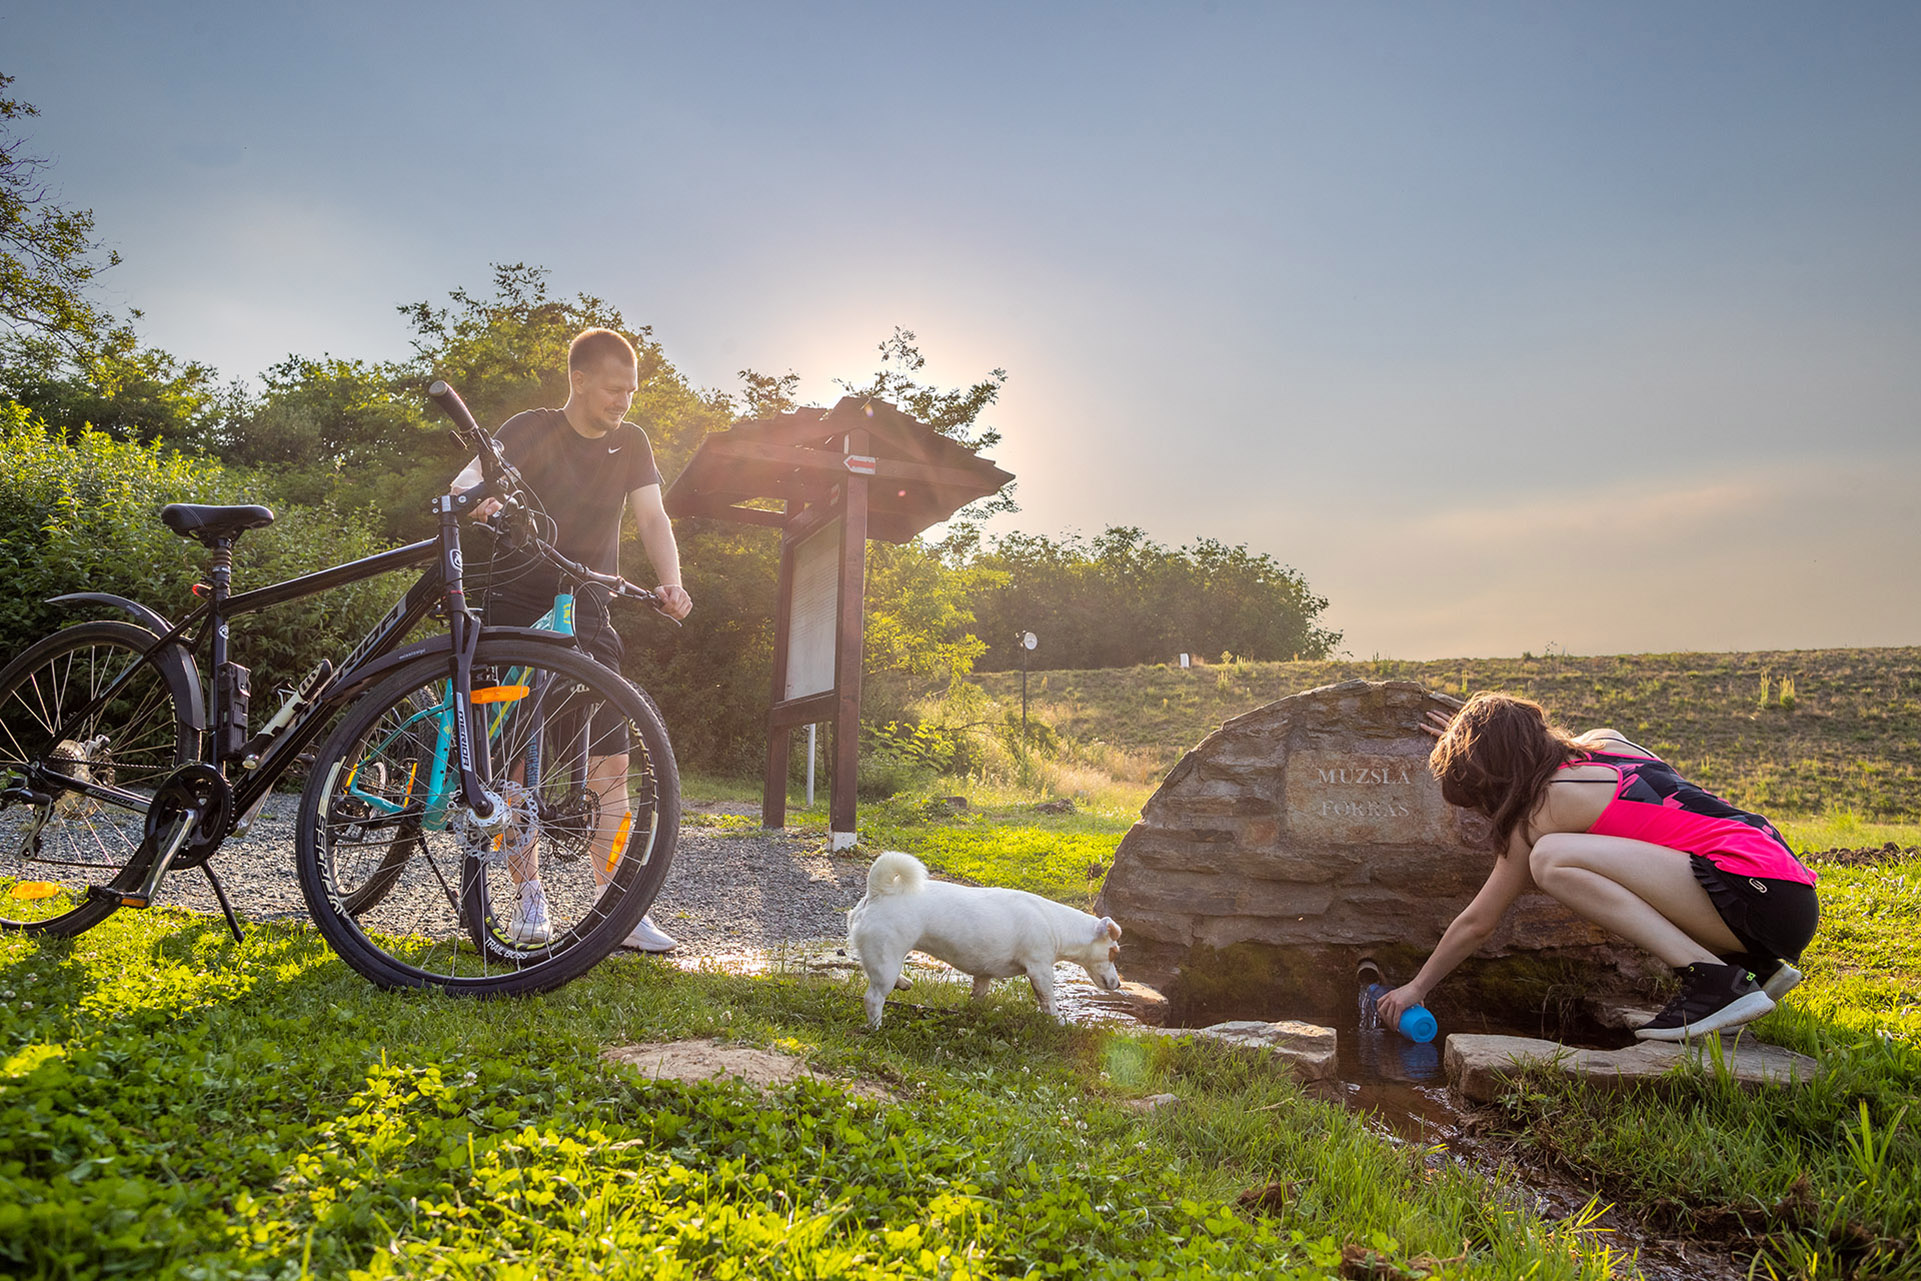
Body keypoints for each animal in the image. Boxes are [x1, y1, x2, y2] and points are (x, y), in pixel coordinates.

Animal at [845, 852, 1121, 1029]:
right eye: (1113, 952)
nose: (1118, 984)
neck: (1057, 923)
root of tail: (879, 892)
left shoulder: (983, 975)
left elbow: (978, 994)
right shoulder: (1039, 970)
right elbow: (1048, 1000)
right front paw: (1058, 1021)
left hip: (882, 958)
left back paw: (902, 982)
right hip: (886, 959)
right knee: (873, 998)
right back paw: (876, 1027)